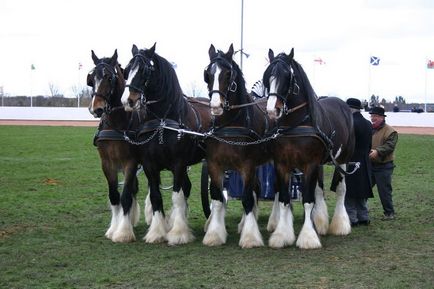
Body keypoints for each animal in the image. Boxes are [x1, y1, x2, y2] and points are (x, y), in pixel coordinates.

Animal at [87, 49, 142, 241]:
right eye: (91, 79)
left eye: (109, 78)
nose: (96, 109)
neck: (116, 124)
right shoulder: (107, 163)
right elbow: (114, 196)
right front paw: (114, 227)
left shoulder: (130, 163)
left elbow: (125, 196)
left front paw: (123, 231)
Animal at [122, 43, 212, 245]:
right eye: (127, 69)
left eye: (145, 70)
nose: (128, 100)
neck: (163, 121)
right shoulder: (149, 165)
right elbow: (156, 197)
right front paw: (157, 231)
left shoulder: (178, 164)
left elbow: (177, 196)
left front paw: (178, 233)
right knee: (187, 187)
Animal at [202, 44, 272, 246]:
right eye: (208, 74)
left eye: (228, 74)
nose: (215, 106)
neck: (230, 124)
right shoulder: (215, 165)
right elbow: (218, 198)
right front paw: (214, 234)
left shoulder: (247, 166)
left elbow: (247, 198)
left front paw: (250, 237)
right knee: (256, 188)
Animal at [262, 48, 354, 249]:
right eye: (267, 76)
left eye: (287, 76)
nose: (272, 111)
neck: (296, 124)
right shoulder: (282, 164)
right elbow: (284, 199)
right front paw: (282, 235)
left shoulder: (310, 164)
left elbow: (307, 200)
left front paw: (308, 238)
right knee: (319, 190)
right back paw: (321, 222)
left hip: (343, 159)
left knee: (341, 190)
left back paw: (340, 225)